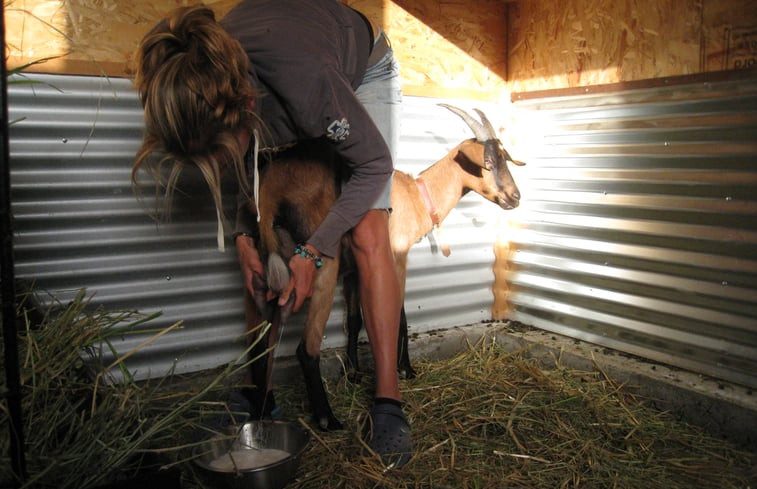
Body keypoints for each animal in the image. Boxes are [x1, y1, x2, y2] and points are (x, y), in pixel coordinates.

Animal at [251, 105, 524, 428]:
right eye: (488, 161)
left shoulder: (355, 268)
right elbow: (399, 312)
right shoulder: (397, 253)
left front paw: (353, 372)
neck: (418, 195)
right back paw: (328, 418)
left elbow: (355, 319)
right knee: (306, 347)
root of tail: (271, 189)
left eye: (505, 158)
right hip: (321, 260)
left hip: (278, 262)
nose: (515, 198)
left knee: (268, 339)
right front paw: (405, 369)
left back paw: (265, 406)